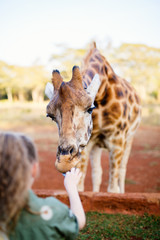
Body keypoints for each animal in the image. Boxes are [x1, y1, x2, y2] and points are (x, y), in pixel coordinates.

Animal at [45, 42, 141, 193]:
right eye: (50, 116)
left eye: (90, 108)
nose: (65, 162)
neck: (102, 93)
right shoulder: (87, 143)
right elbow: (81, 186)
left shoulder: (117, 143)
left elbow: (112, 189)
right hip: (97, 145)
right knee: (97, 173)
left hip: (129, 138)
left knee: (122, 170)